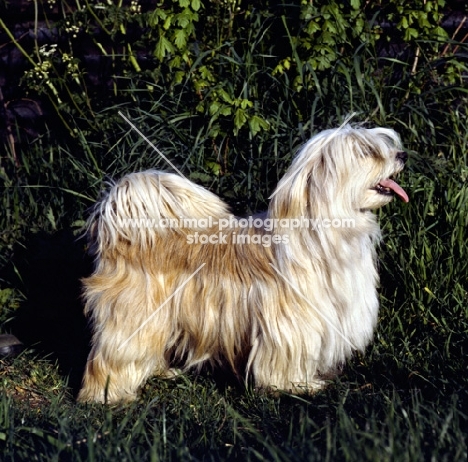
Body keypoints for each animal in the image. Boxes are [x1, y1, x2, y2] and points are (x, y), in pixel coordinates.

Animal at [77, 124, 406, 402]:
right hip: (134, 317)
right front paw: (295, 386)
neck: (322, 233)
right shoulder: (290, 323)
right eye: (367, 152)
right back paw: (106, 395)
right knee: (111, 357)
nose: (402, 155)